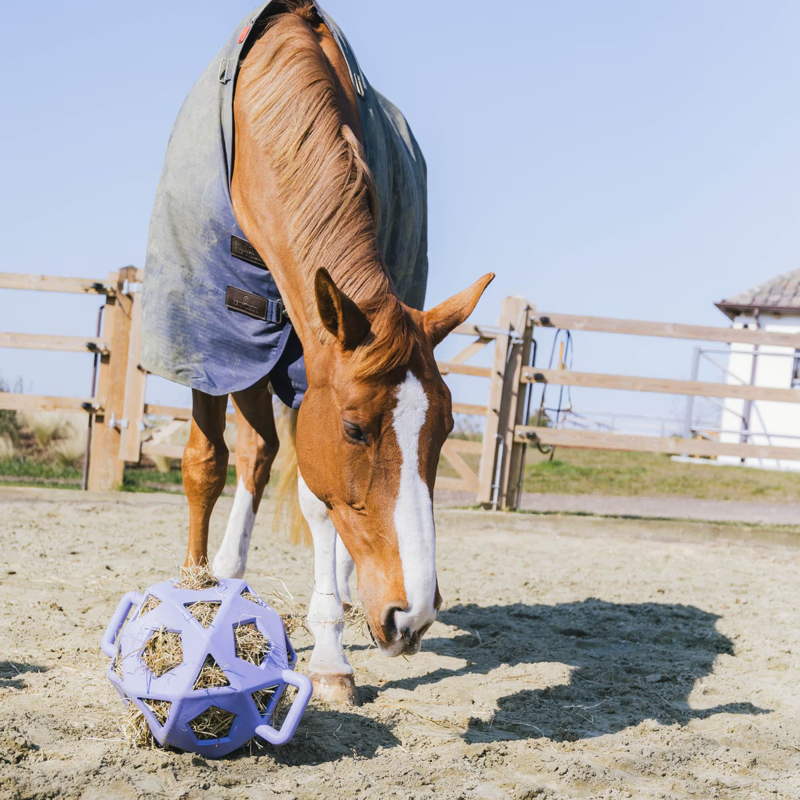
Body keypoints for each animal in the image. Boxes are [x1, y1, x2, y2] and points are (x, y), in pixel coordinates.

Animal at [141, 0, 493, 705]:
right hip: (250, 363)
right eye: (355, 429)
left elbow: (316, 501)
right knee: (248, 456)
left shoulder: (309, 373)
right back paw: (222, 576)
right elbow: (203, 465)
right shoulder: (209, 347)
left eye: (445, 432)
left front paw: (330, 655)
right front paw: (191, 599)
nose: (413, 616)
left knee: (268, 459)